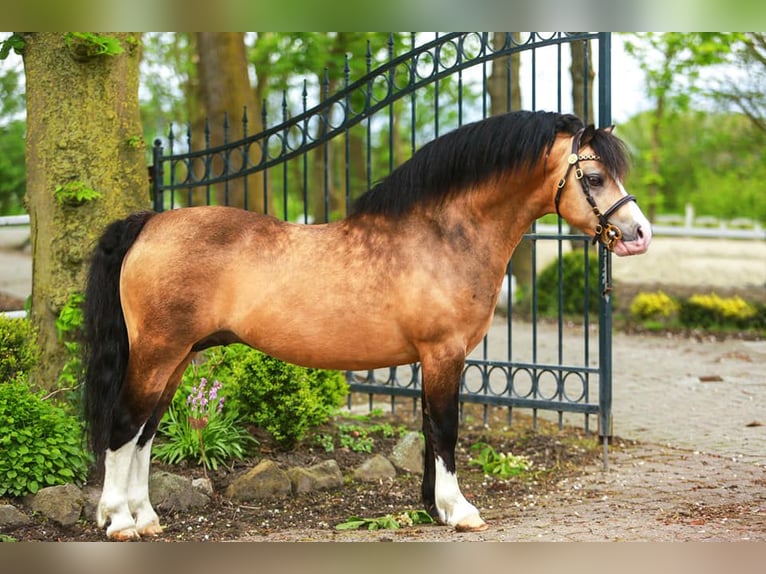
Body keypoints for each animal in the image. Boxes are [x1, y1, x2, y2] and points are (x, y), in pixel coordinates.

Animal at [83, 110, 651, 540]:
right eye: (595, 178)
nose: (639, 233)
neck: (440, 237)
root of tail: (150, 223)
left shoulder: (430, 359)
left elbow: (429, 430)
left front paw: (433, 507)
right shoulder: (444, 353)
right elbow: (446, 429)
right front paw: (460, 510)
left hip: (179, 357)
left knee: (146, 432)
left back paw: (146, 517)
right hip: (158, 352)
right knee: (123, 425)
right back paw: (118, 521)